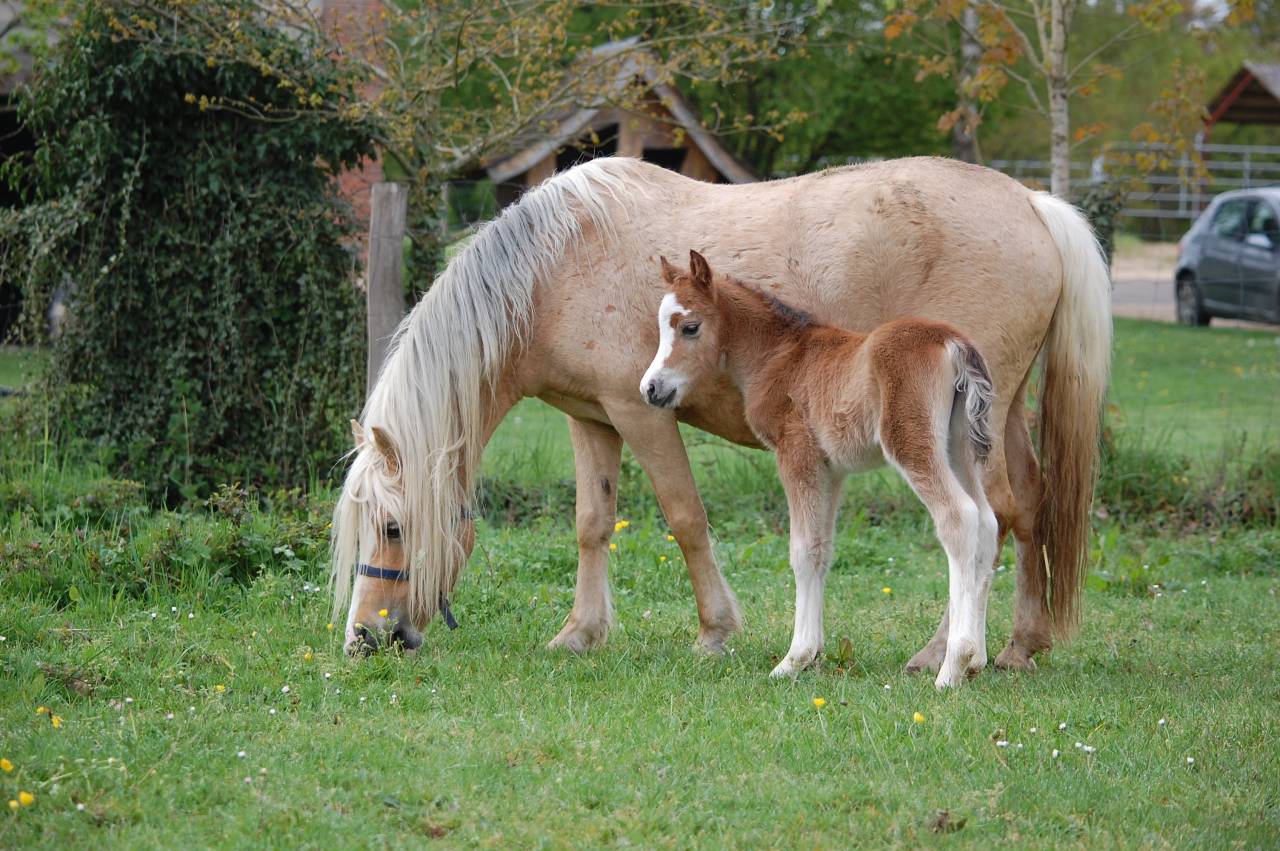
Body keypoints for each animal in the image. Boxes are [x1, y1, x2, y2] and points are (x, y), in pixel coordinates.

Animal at [642, 251, 1001, 687]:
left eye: (689, 327)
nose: (651, 389)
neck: (780, 356)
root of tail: (953, 343)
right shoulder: (832, 470)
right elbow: (823, 548)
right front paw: (811, 655)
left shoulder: (797, 453)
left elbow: (803, 550)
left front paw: (793, 659)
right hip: (958, 446)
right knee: (987, 522)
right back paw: (977, 659)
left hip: (912, 442)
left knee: (958, 517)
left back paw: (952, 667)